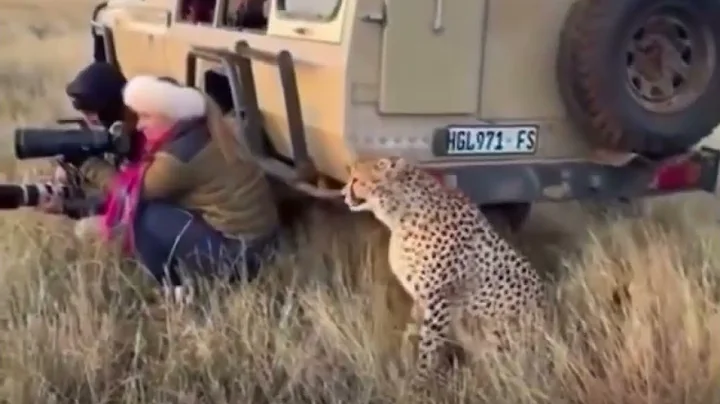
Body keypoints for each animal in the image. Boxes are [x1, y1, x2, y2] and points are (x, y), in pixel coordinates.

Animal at [341, 155, 547, 392]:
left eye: (356, 180)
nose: (343, 194)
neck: (401, 213)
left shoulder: (439, 299)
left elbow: (429, 344)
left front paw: (419, 382)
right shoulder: (422, 297)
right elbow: (413, 331)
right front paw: (405, 362)